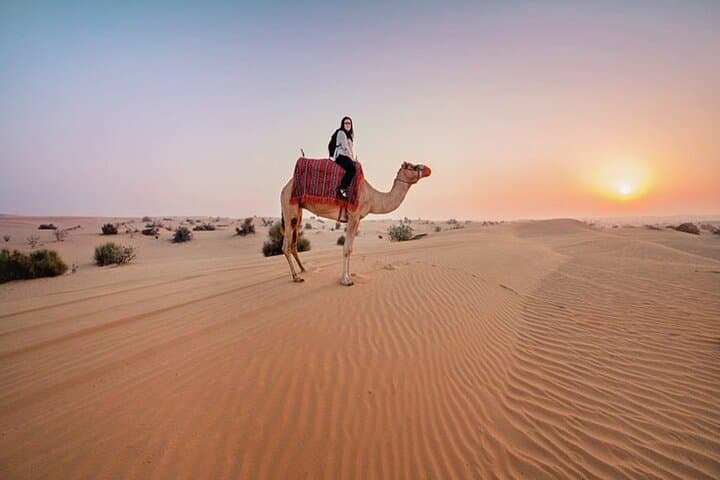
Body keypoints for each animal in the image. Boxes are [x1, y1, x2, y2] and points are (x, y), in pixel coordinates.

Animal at [279, 161, 432, 285]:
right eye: (413, 167)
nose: (428, 169)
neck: (372, 197)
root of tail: (284, 188)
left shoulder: (357, 219)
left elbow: (351, 248)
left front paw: (348, 276)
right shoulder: (353, 216)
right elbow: (346, 248)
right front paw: (345, 280)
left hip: (298, 210)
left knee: (293, 244)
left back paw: (303, 270)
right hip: (289, 208)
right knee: (286, 246)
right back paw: (296, 277)